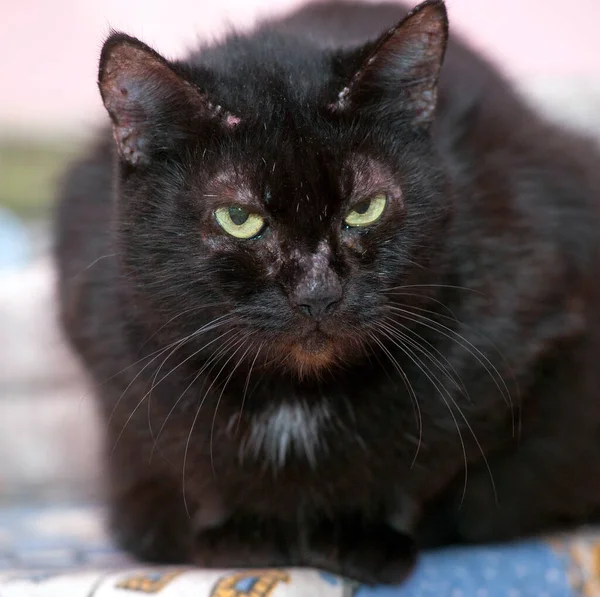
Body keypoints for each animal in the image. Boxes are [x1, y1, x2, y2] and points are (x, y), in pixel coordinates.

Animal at [54, 0, 600, 588]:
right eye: (239, 218)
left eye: (366, 208)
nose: (318, 292)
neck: (297, 397)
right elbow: (195, 465)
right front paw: (241, 535)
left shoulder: (521, 318)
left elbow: (426, 457)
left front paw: (363, 536)